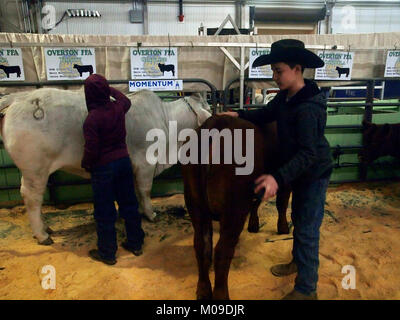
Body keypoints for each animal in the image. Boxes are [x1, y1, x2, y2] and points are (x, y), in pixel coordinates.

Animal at [182, 115, 290, 300]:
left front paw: (253, 225)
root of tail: (215, 123)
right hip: (234, 208)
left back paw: (203, 290)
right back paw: (221, 295)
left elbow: (257, 203)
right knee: (222, 251)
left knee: (201, 245)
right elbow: (281, 204)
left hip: (195, 203)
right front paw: (283, 228)